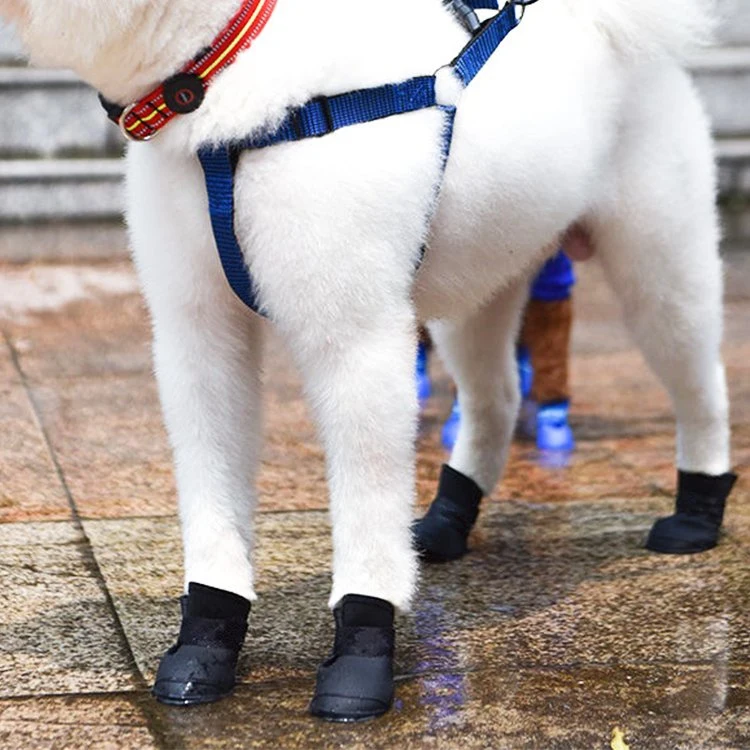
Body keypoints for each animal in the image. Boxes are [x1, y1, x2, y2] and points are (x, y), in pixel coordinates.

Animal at [1, 0, 740, 728]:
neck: (222, 70)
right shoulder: (197, 333)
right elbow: (210, 493)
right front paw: (205, 640)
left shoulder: (356, 338)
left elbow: (365, 503)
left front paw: (361, 652)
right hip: (482, 278)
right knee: (495, 397)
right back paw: (447, 519)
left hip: (658, 265)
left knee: (701, 383)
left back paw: (697, 512)